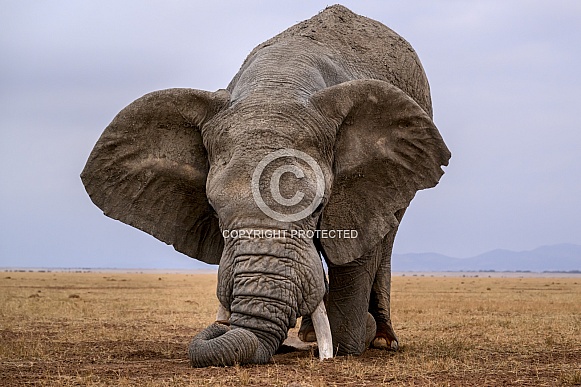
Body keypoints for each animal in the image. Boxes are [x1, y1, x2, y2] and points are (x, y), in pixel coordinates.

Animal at [80, 4, 448, 368]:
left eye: (319, 207)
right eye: (214, 210)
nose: (220, 326)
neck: (276, 88)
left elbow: (354, 256)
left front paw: (355, 335)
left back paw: (381, 339)